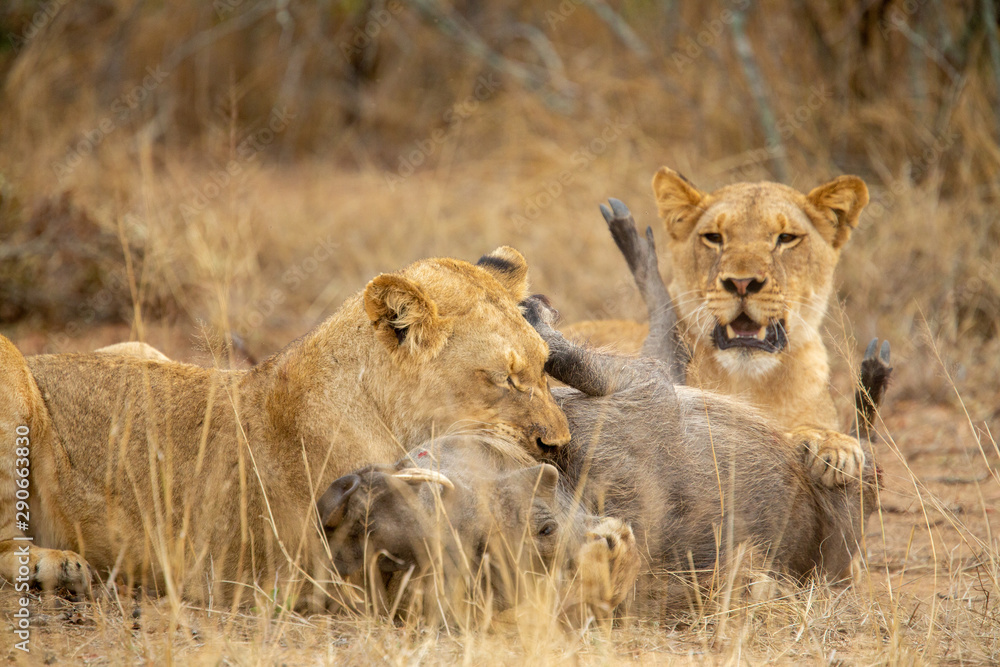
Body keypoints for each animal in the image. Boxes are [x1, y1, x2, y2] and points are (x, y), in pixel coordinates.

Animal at [0, 247, 571, 609]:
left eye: (544, 365)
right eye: (506, 378)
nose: (559, 445)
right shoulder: (326, 570)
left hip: (138, 347)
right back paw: (62, 567)